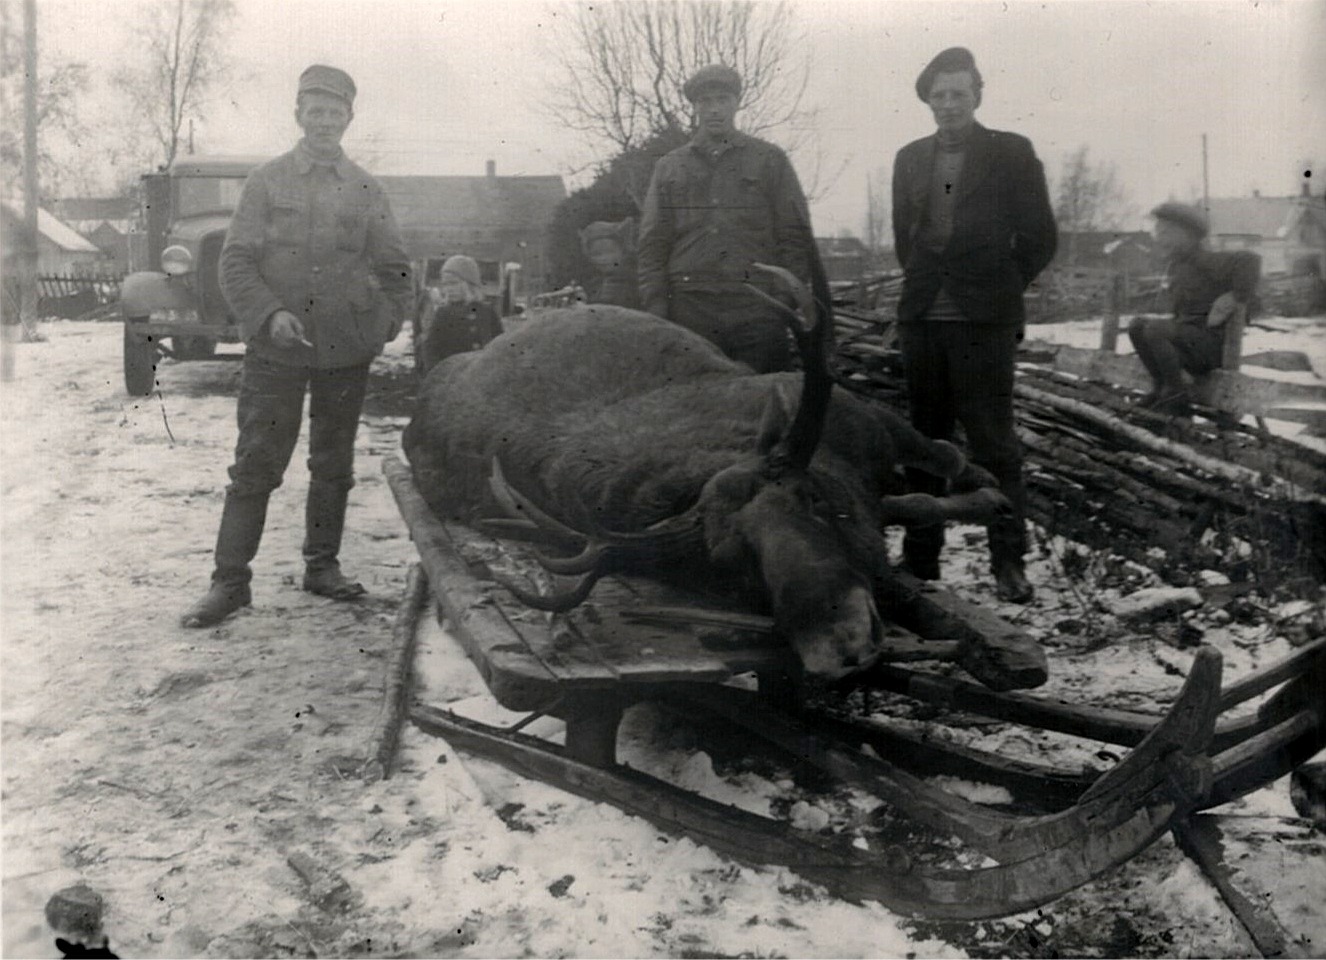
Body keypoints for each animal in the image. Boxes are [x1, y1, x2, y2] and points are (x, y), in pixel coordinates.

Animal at [376, 258, 1326, 917]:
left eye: (813, 503)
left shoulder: (873, 437)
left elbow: (939, 505)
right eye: (730, 562)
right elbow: (917, 566)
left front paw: (979, 589)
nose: (838, 650)